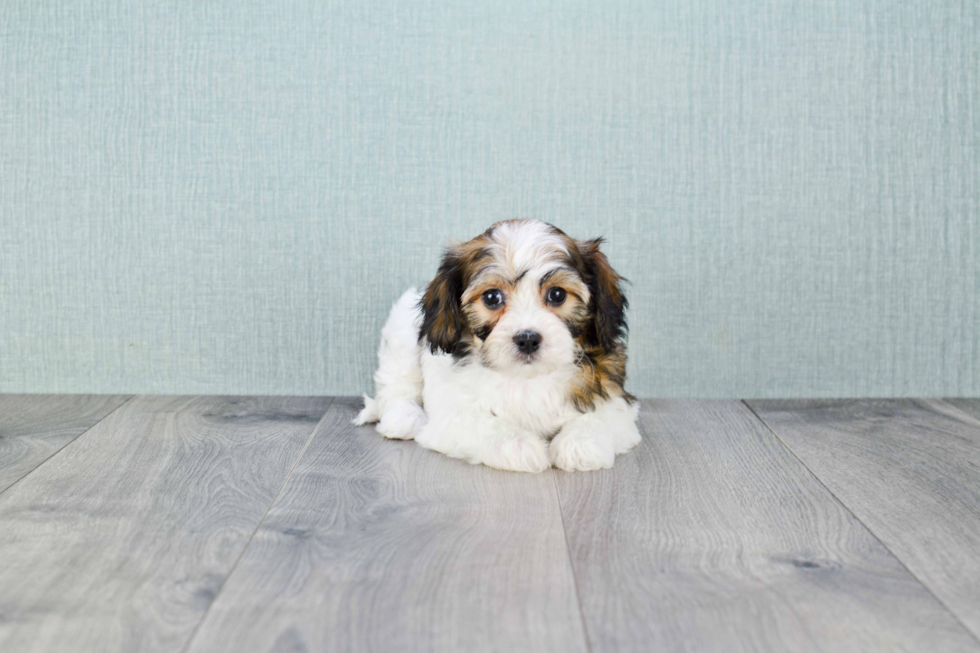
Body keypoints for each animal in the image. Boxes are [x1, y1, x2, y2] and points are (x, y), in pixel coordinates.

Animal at [356, 222, 640, 472]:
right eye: (492, 297)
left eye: (557, 294)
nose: (528, 338)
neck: (527, 378)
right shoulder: (451, 412)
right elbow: (481, 423)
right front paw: (519, 445)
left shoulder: (615, 398)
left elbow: (603, 416)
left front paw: (580, 444)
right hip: (402, 328)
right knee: (397, 383)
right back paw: (403, 418)